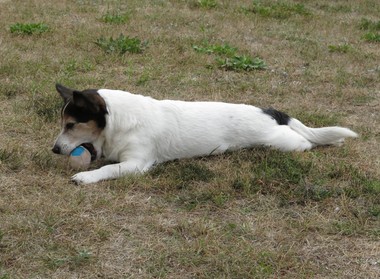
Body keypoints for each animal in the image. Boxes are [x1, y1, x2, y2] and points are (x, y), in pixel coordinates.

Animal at [52, 84, 358, 185]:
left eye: (71, 125)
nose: (54, 150)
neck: (121, 119)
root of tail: (269, 111)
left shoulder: (137, 163)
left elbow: (108, 169)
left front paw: (86, 176)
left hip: (282, 142)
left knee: (305, 141)